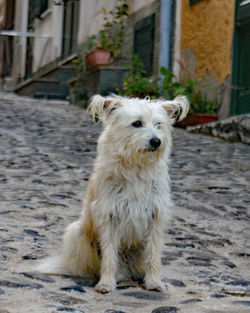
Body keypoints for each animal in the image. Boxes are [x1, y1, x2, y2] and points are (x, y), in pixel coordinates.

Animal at [38, 94, 188, 292]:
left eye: (158, 124)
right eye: (137, 123)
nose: (156, 141)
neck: (136, 167)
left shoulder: (155, 218)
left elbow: (153, 255)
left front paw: (154, 282)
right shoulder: (110, 217)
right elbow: (109, 255)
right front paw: (106, 283)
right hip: (76, 232)